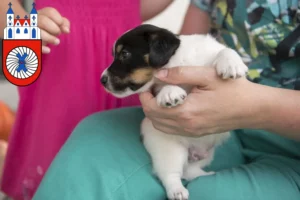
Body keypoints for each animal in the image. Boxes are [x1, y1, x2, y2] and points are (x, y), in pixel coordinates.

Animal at [99, 24, 247, 200]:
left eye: (125, 54)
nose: (102, 80)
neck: (179, 61)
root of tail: (194, 151)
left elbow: (225, 50)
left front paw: (231, 64)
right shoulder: (156, 88)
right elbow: (163, 87)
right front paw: (170, 92)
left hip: (206, 155)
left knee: (190, 171)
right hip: (169, 150)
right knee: (171, 174)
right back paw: (177, 191)